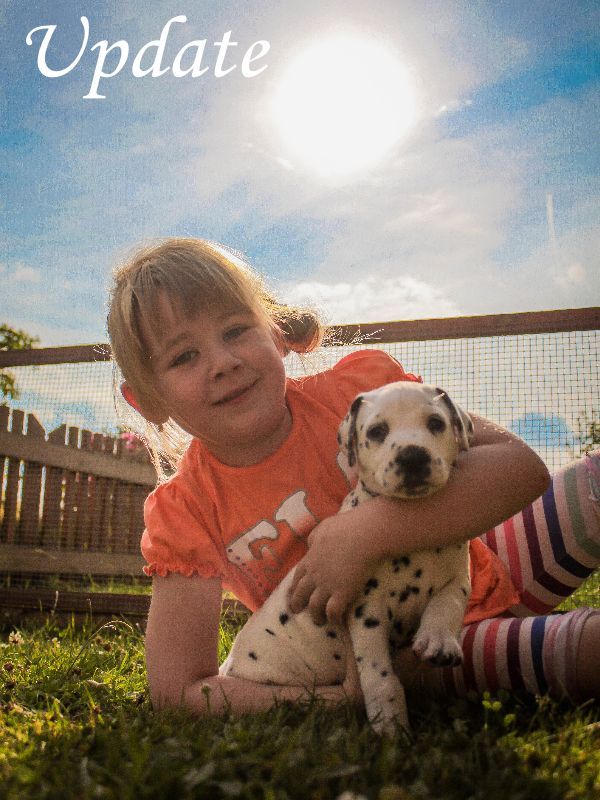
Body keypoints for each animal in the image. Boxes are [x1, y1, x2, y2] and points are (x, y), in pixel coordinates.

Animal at [220, 381, 474, 735]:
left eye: (436, 423)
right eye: (378, 431)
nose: (412, 456)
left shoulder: (457, 579)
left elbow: (446, 605)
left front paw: (440, 641)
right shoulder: (366, 611)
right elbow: (382, 679)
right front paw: (391, 727)